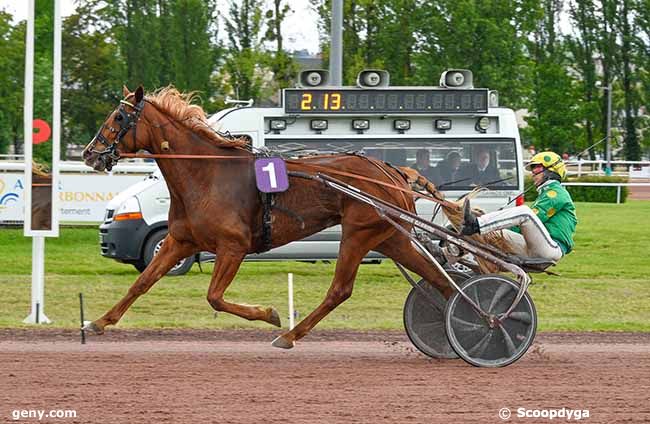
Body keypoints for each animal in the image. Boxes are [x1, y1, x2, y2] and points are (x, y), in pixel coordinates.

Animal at [82, 86, 450, 348]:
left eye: (118, 117)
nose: (89, 153)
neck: (205, 174)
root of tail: (392, 171)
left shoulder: (233, 247)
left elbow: (214, 297)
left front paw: (271, 314)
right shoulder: (180, 241)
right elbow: (142, 282)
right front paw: (97, 322)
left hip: (358, 233)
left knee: (340, 289)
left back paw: (288, 335)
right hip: (390, 237)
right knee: (437, 276)